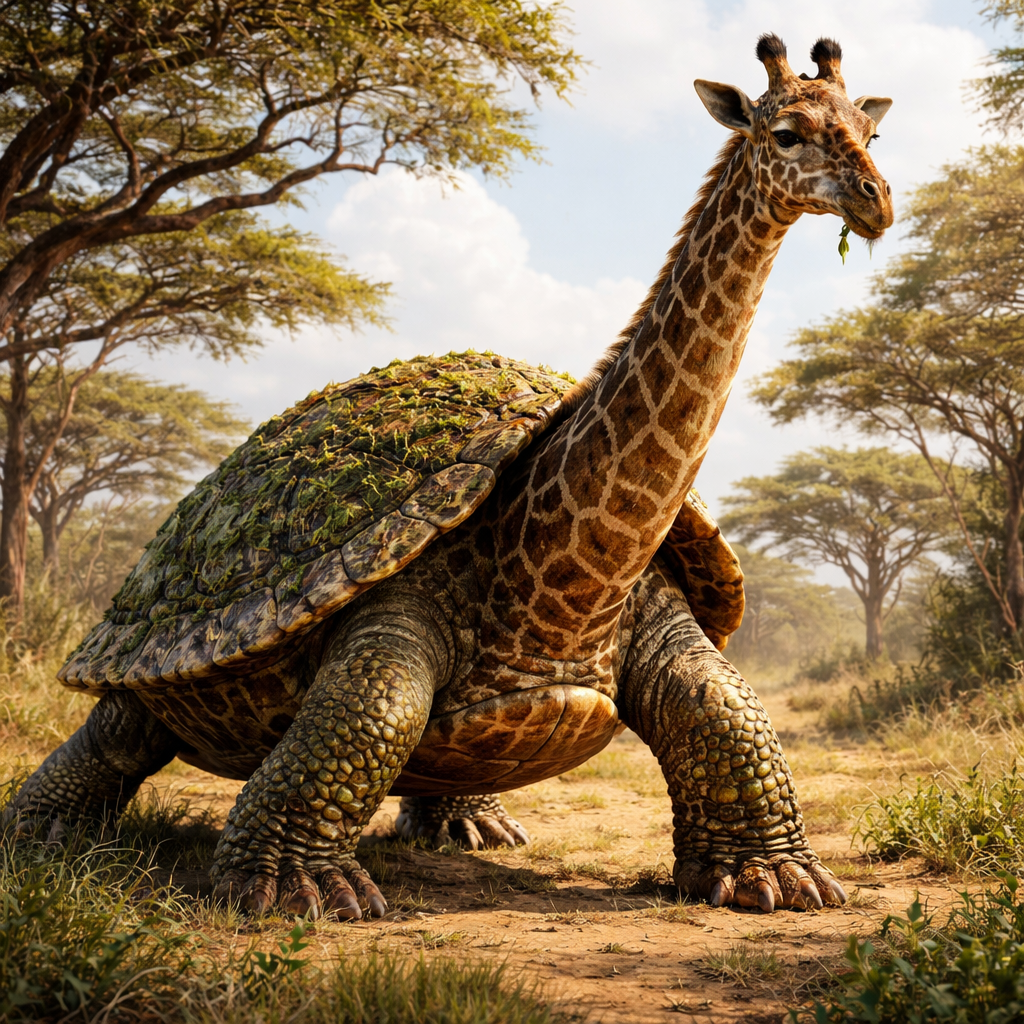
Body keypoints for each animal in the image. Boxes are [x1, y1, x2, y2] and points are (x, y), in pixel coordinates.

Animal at [9, 34, 892, 918]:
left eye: (872, 133)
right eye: (785, 135)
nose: (876, 203)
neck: (562, 595)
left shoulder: (658, 604)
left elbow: (726, 712)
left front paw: (773, 875)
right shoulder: (390, 610)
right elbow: (366, 719)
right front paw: (300, 886)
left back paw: (473, 824)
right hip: (149, 657)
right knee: (117, 733)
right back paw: (38, 834)